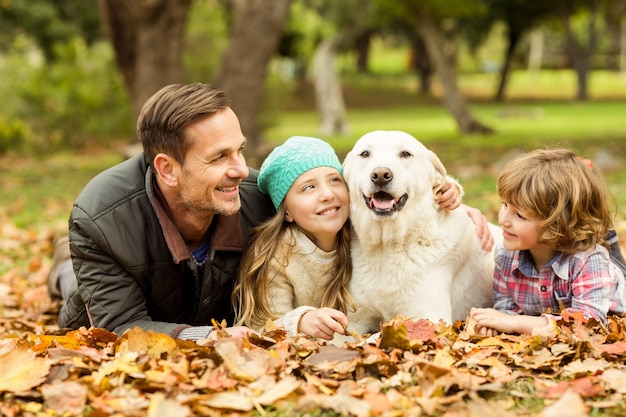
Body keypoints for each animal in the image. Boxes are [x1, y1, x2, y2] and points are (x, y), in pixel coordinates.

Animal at [344, 128, 500, 334]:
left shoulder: (427, 317)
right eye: (364, 154)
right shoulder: (352, 320)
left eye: (405, 154)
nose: (380, 174)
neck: (387, 245)